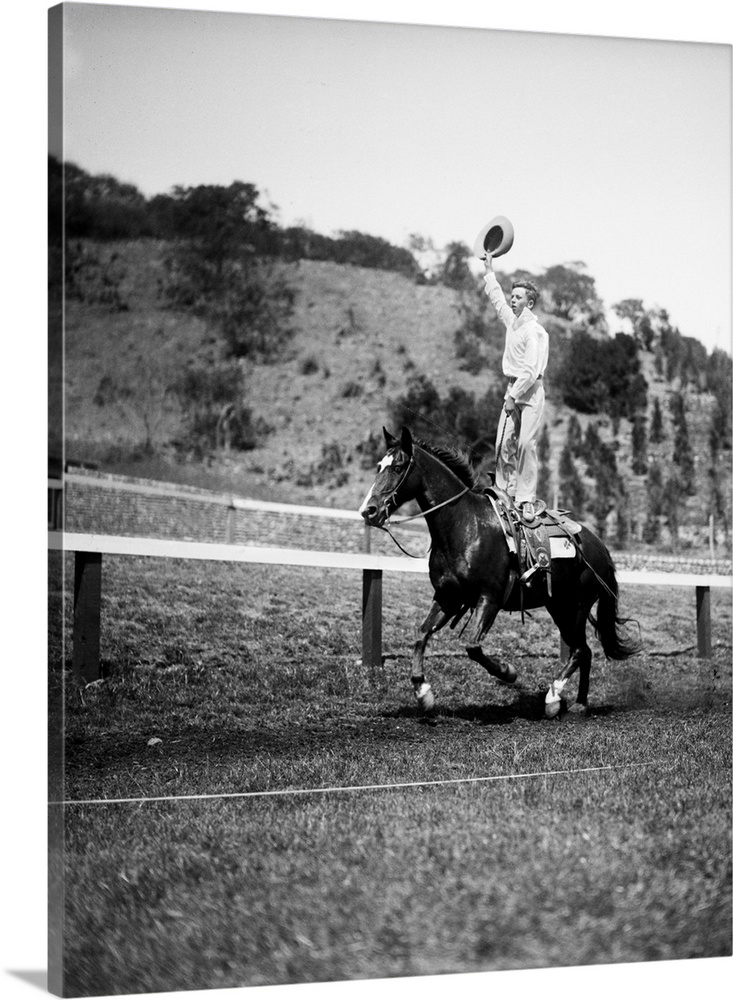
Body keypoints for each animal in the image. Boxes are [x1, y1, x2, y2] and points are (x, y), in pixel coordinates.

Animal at [358, 428, 636, 720]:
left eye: (398, 467)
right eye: (379, 466)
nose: (369, 511)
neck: (464, 526)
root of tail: (600, 548)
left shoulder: (489, 598)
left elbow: (473, 646)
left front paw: (508, 672)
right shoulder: (447, 597)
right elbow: (421, 634)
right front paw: (423, 693)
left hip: (576, 607)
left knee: (580, 650)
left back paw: (552, 698)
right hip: (558, 607)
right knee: (585, 651)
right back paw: (579, 703)